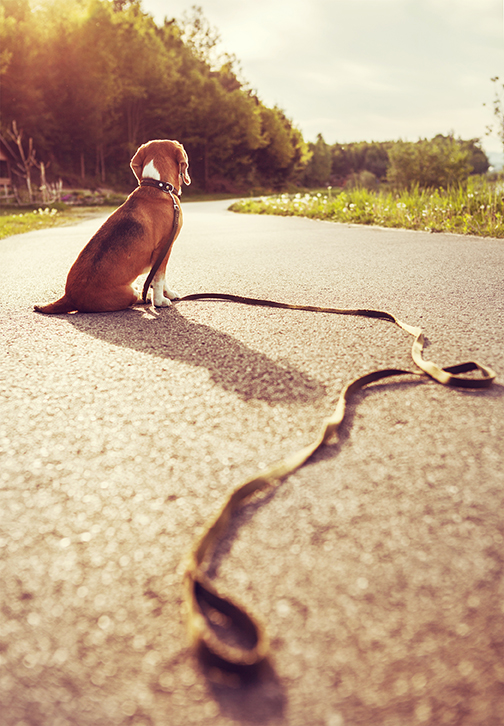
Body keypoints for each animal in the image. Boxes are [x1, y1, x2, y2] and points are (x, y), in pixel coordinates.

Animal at [34, 139, 191, 316]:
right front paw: (160, 301)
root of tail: (69, 297)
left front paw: (168, 294)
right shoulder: (164, 248)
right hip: (127, 293)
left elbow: (161, 279)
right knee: (136, 294)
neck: (158, 186)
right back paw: (143, 296)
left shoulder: (163, 252)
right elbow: (159, 278)